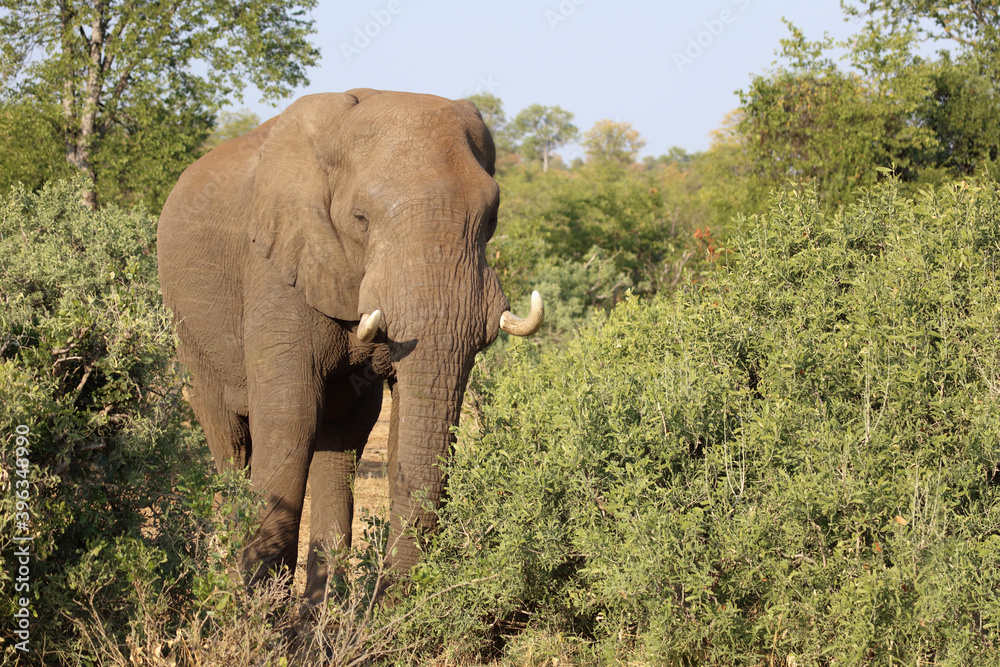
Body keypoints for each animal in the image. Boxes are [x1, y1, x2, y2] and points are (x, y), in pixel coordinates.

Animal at [156, 89, 543, 603]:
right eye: (360, 219)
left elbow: (384, 427)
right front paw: (258, 614)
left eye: (492, 218)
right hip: (188, 327)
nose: (390, 603)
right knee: (232, 441)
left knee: (341, 438)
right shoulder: (277, 270)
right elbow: (290, 416)